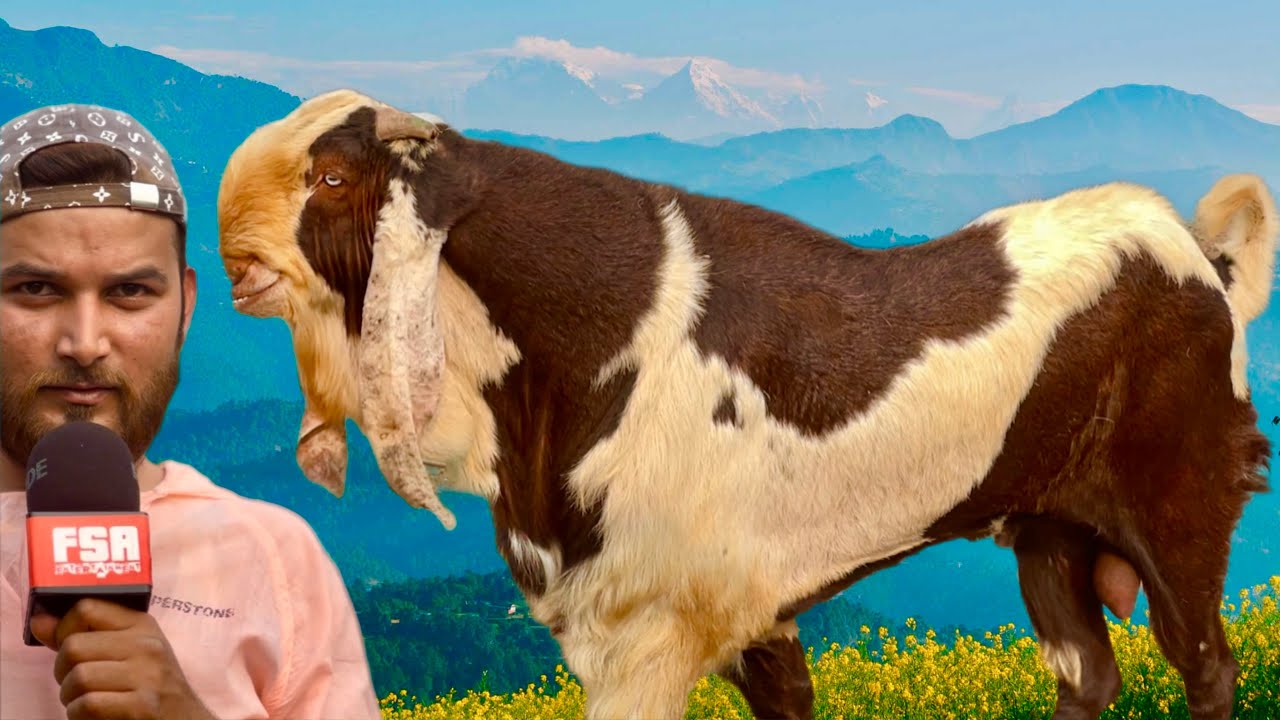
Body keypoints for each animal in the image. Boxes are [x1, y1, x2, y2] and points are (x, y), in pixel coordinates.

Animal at [216, 89, 1276, 720]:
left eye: (333, 177)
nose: (232, 259)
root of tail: (1206, 263)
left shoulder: (646, 635)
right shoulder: (747, 615)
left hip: (1181, 509)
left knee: (1204, 664)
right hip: (1049, 529)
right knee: (1087, 670)